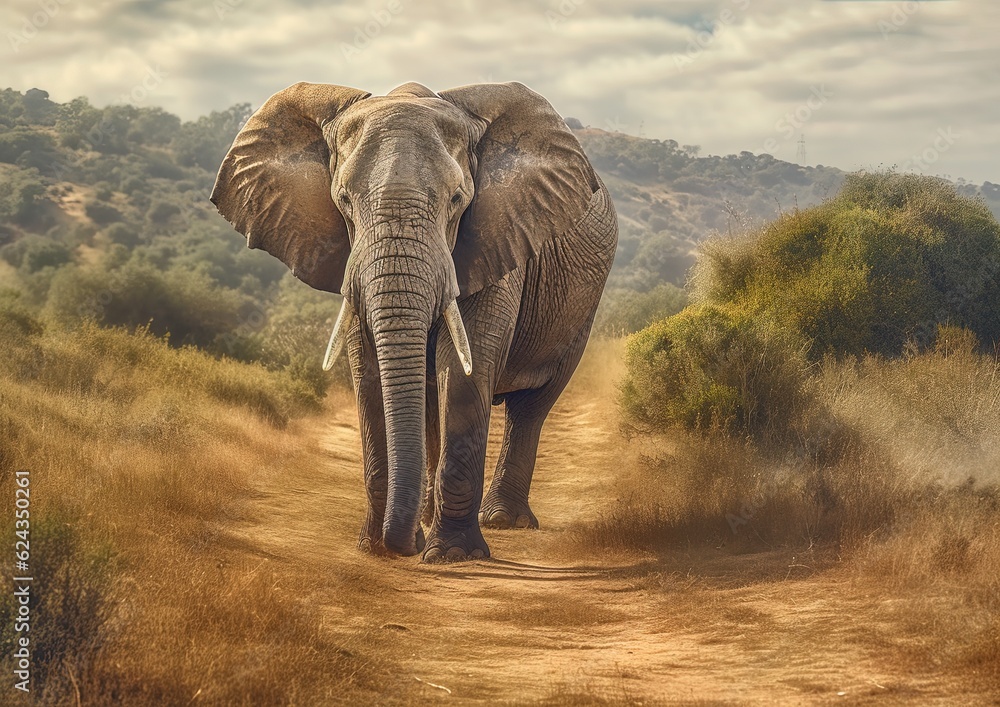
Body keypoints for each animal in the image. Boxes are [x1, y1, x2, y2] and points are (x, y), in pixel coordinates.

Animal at [211, 81, 617, 562]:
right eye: (343, 200)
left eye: (458, 199)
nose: (400, 546)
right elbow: (368, 372)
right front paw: (376, 548)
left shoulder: (498, 235)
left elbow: (465, 370)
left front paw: (452, 556)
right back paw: (426, 517)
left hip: (581, 308)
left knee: (533, 405)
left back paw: (503, 520)